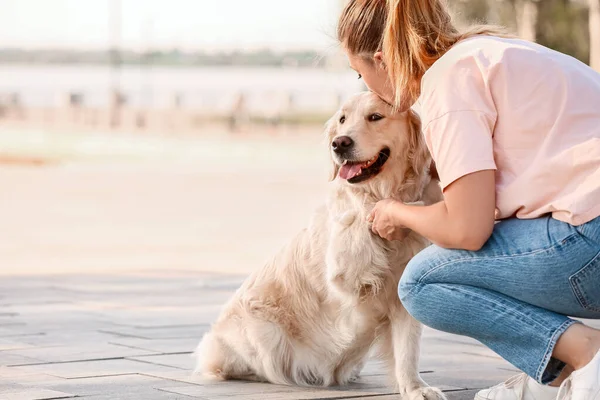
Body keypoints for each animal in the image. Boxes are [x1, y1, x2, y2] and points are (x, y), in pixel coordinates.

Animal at [197, 91, 446, 400]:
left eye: (375, 117)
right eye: (342, 119)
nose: (339, 143)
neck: (383, 190)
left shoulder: (403, 288)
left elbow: (408, 348)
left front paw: (415, 388)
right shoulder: (345, 272)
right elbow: (358, 217)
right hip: (263, 332)